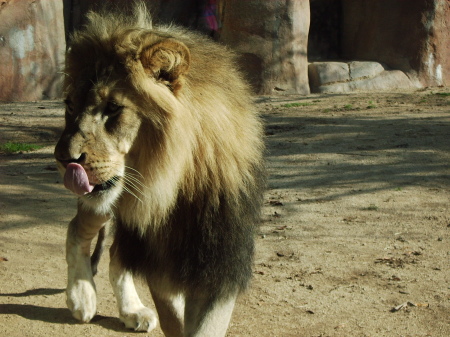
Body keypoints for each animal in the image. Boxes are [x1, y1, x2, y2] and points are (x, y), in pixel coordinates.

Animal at [53, 3, 264, 336]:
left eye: (113, 108)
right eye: (70, 105)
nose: (63, 158)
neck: (172, 185)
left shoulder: (218, 266)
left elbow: (206, 326)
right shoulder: (157, 261)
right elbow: (174, 321)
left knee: (116, 254)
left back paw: (131, 310)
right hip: (102, 205)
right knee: (77, 228)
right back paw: (81, 297)